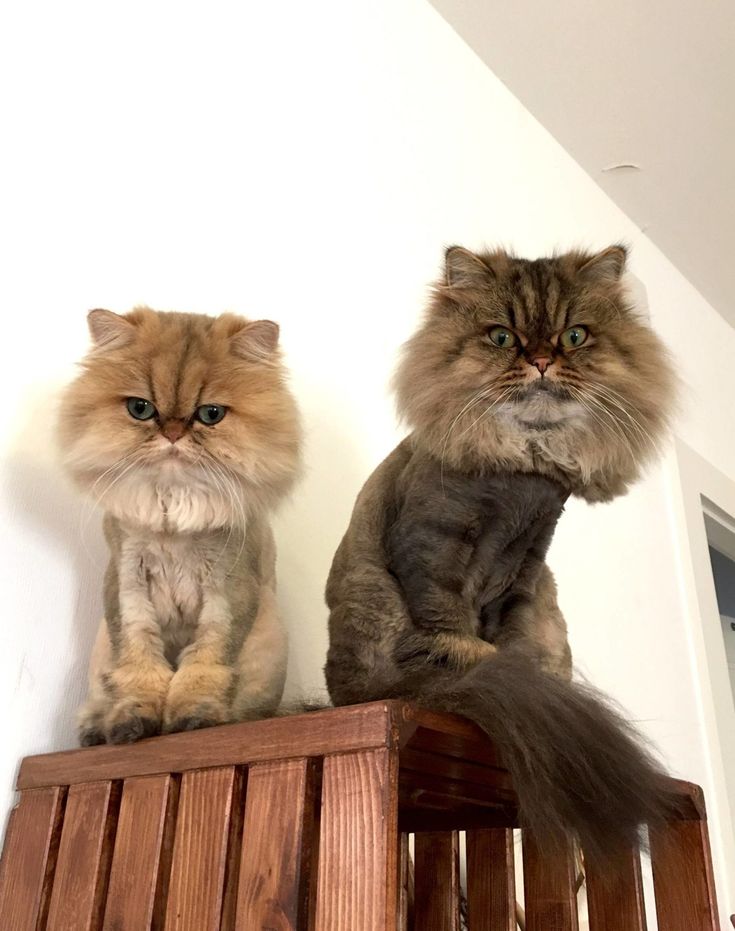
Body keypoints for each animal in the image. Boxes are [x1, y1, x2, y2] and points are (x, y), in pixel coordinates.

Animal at [56, 310, 300, 748]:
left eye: (210, 414)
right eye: (140, 408)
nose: (172, 433)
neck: (172, 515)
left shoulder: (228, 589)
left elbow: (205, 664)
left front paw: (192, 716)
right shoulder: (128, 583)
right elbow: (138, 664)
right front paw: (132, 723)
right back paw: (95, 730)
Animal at [328, 244, 680, 864]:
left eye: (573, 336)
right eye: (501, 337)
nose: (540, 360)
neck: (526, 474)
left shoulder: (528, 560)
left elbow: (508, 629)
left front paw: (514, 667)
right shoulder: (435, 537)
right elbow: (445, 615)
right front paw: (476, 658)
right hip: (373, 605)